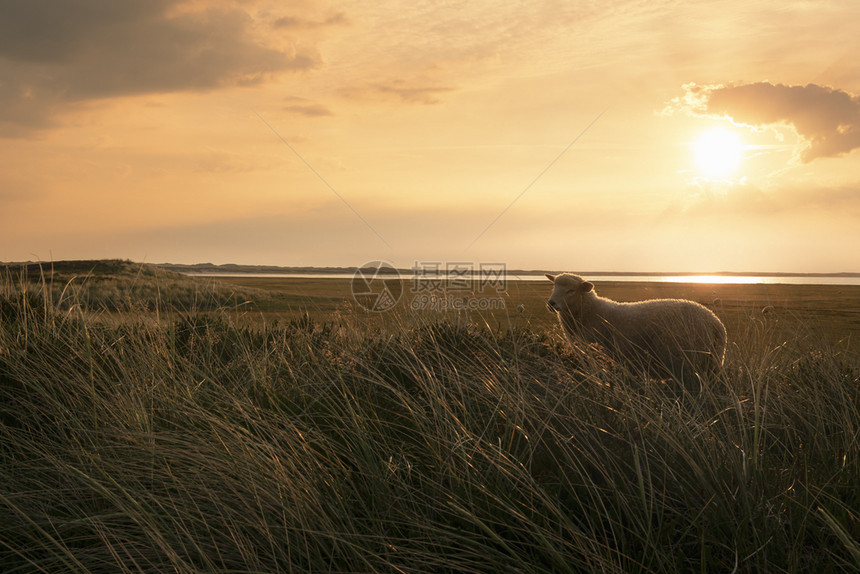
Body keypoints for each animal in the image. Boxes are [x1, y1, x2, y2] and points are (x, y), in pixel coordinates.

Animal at [544, 274, 724, 384]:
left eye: (571, 290)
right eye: (553, 287)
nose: (551, 304)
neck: (590, 310)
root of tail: (715, 323)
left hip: (688, 361)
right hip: (711, 362)